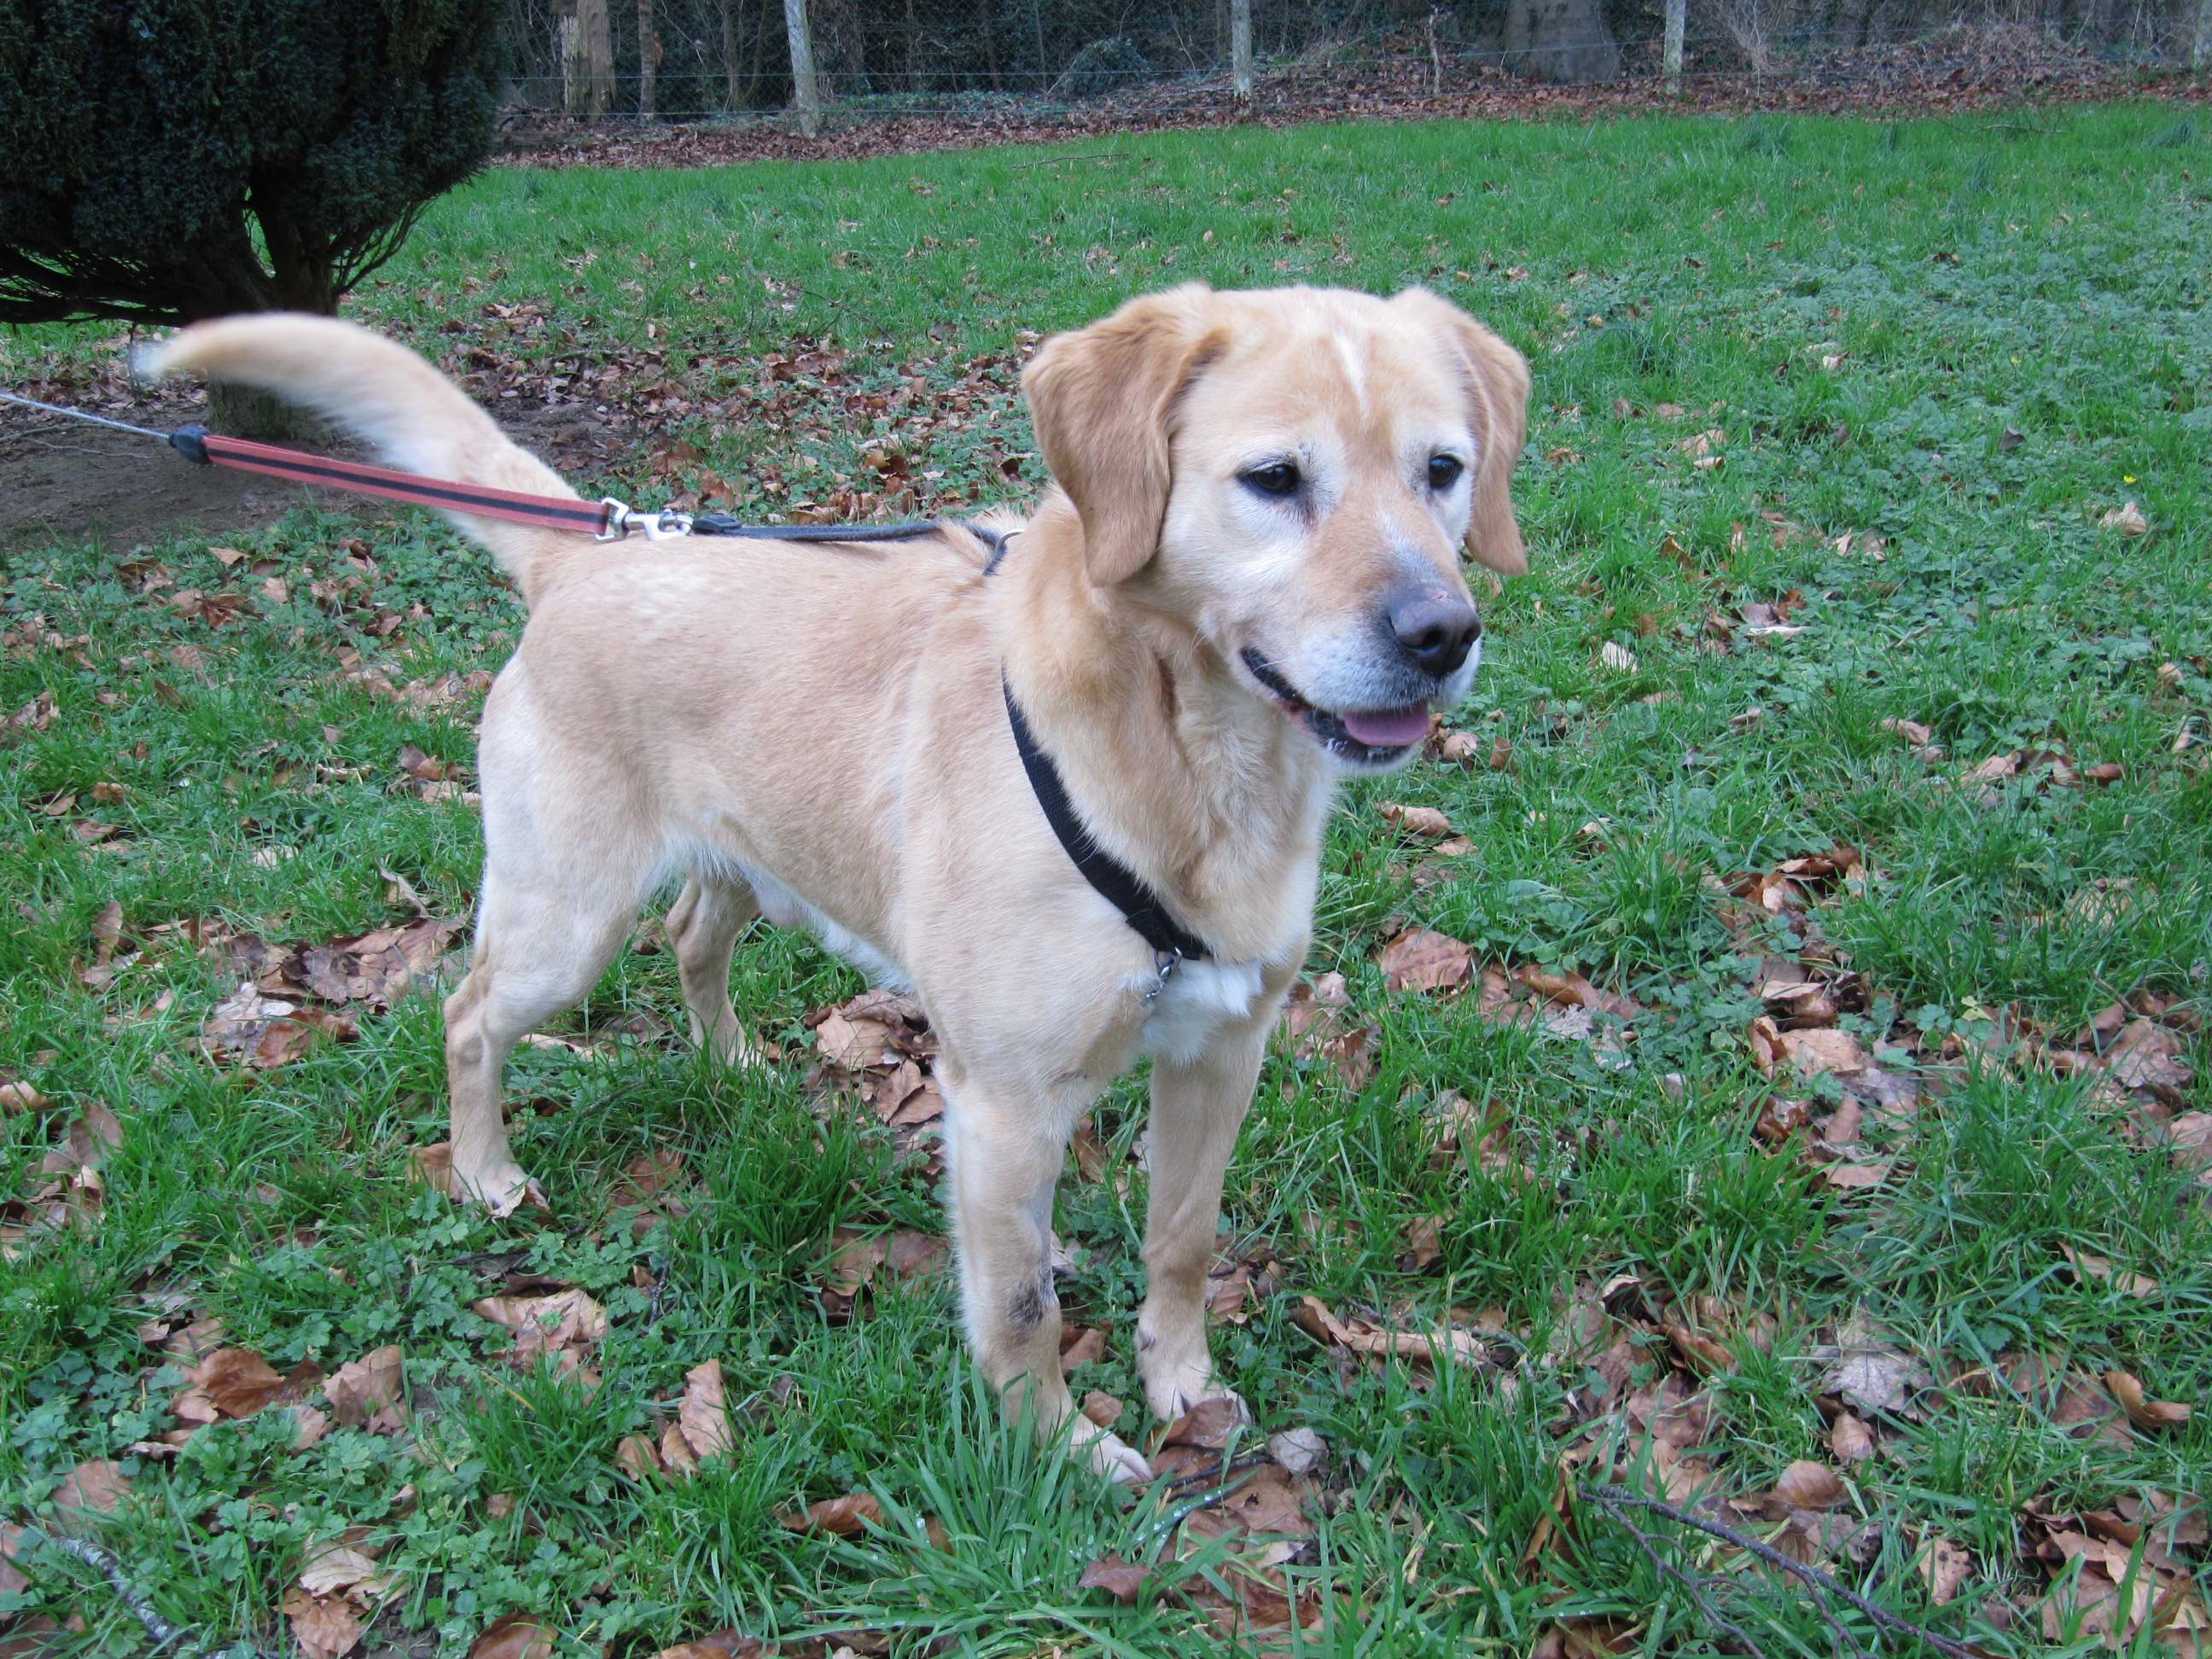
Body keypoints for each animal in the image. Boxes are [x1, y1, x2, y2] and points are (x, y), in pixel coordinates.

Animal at [151, 285, 1522, 1477]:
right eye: (1275, 480)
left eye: (1443, 471)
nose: (1443, 635)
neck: (1193, 763)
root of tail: (595, 556)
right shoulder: (1005, 1105)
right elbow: (1017, 1306)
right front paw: (1056, 1453)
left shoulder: (1223, 1046)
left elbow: (1183, 1240)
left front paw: (1179, 1379)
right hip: (564, 919)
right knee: (468, 1013)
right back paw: (484, 1171)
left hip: (746, 861)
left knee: (693, 938)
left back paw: (735, 1067)